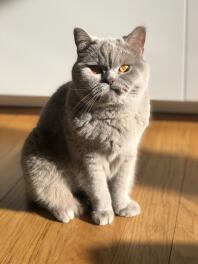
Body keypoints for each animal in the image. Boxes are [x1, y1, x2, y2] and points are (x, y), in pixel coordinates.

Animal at [20, 25, 149, 226]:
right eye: (95, 69)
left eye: (124, 68)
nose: (109, 80)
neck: (113, 117)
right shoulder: (89, 157)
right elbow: (99, 190)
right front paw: (103, 213)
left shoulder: (128, 154)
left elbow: (120, 185)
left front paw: (123, 207)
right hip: (36, 158)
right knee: (47, 192)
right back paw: (70, 208)